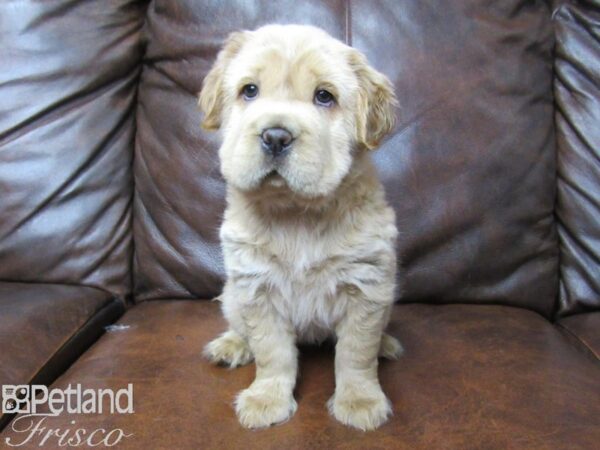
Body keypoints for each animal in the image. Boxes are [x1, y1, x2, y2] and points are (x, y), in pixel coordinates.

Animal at [199, 25, 400, 432]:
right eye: (249, 90)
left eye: (324, 96)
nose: (275, 136)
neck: (296, 214)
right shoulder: (257, 289)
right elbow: (272, 353)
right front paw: (267, 400)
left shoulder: (366, 288)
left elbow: (356, 355)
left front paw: (360, 401)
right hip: (232, 296)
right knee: (238, 326)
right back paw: (231, 345)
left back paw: (386, 344)